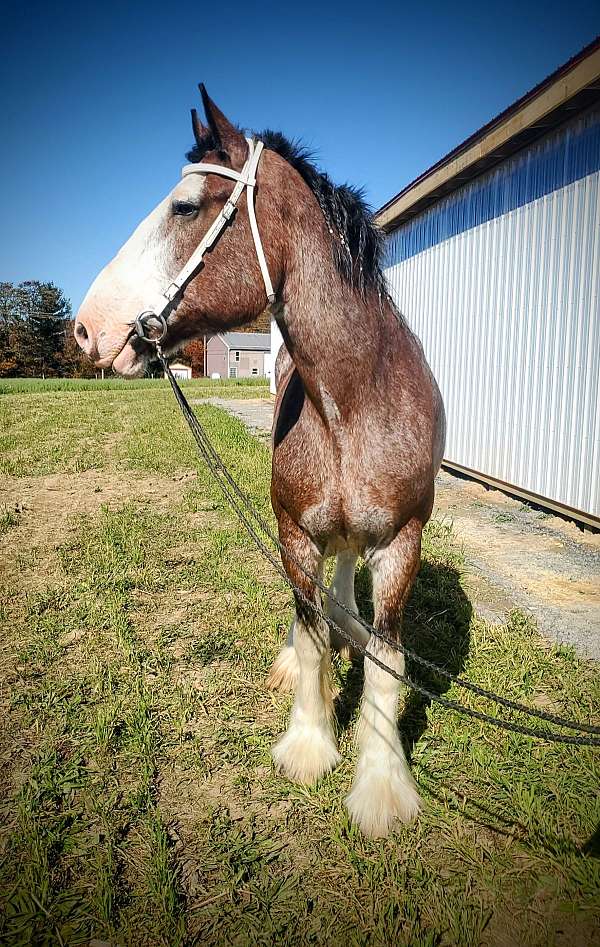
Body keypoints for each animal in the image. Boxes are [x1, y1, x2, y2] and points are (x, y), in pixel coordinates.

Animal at [75, 87, 446, 836]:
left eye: (186, 207)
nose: (87, 328)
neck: (354, 401)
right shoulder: (293, 532)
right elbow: (307, 635)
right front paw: (308, 745)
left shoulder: (401, 543)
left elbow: (386, 659)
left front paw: (381, 786)